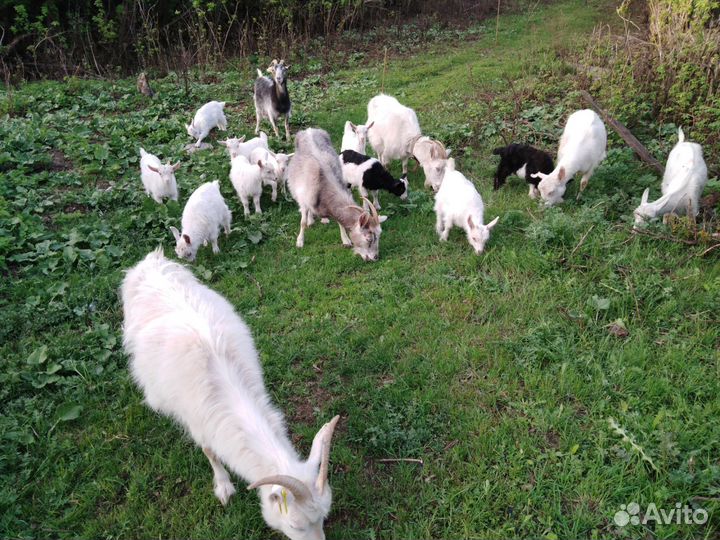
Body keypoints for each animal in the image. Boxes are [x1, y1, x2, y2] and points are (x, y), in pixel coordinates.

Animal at [122, 248, 340, 540]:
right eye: (295, 525)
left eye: (323, 517)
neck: (226, 388)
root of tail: (151, 260)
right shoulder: (197, 420)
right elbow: (210, 451)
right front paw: (224, 487)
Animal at [287, 128, 385, 262]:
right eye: (369, 238)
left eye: (379, 235)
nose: (375, 257)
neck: (324, 184)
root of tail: (309, 130)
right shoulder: (305, 197)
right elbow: (302, 222)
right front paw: (300, 241)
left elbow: (340, 222)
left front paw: (346, 240)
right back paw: (311, 220)